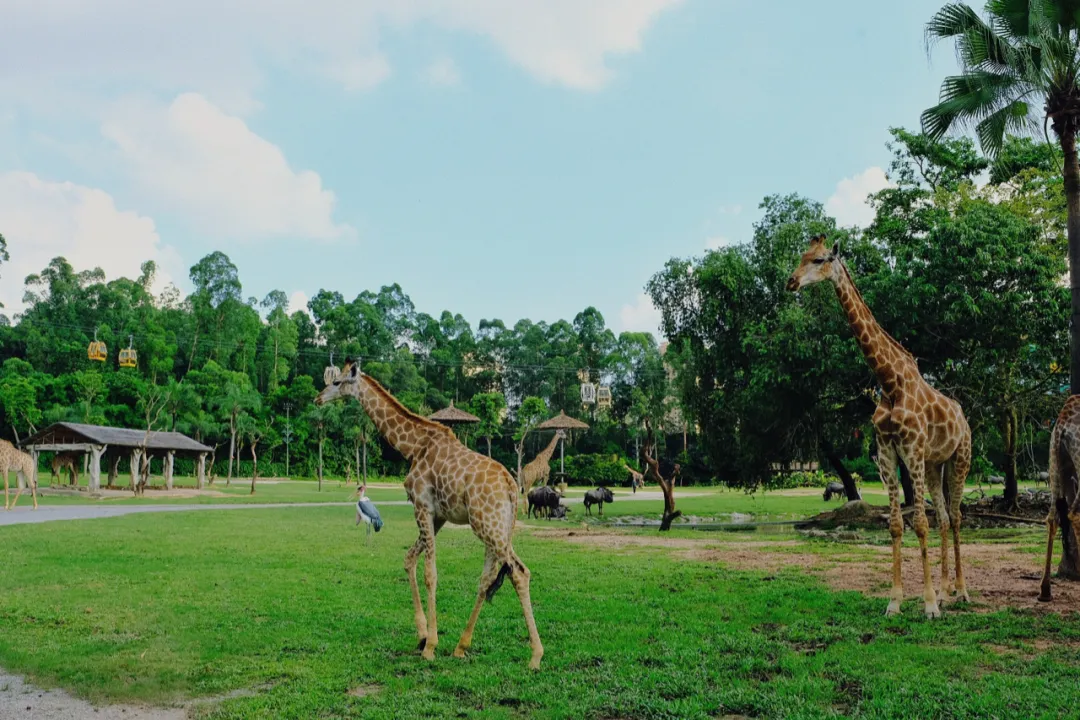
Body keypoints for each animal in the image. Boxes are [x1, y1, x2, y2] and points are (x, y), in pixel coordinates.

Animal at [790, 234, 976, 617]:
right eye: (801, 256)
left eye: (819, 260)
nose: (791, 282)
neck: (890, 383)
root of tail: (963, 417)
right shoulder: (887, 453)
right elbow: (895, 525)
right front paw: (896, 601)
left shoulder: (912, 450)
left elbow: (919, 523)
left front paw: (929, 605)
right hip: (935, 465)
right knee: (944, 518)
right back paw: (947, 589)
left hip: (960, 458)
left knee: (956, 515)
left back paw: (962, 591)